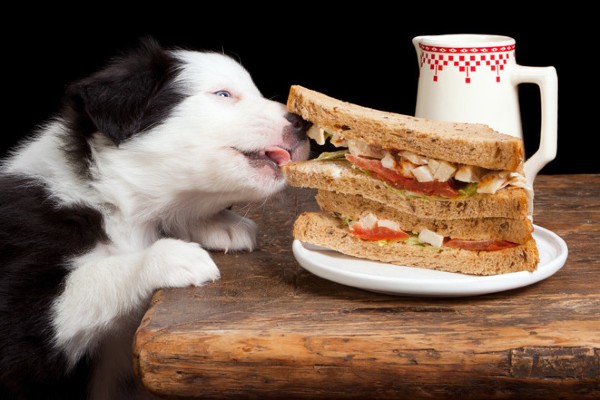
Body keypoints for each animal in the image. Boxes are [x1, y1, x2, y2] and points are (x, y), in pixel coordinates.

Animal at [0, 38, 310, 400]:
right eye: (223, 94)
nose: (301, 122)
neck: (115, 203)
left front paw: (219, 223)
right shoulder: (19, 308)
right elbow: (93, 278)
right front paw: (169, 256)